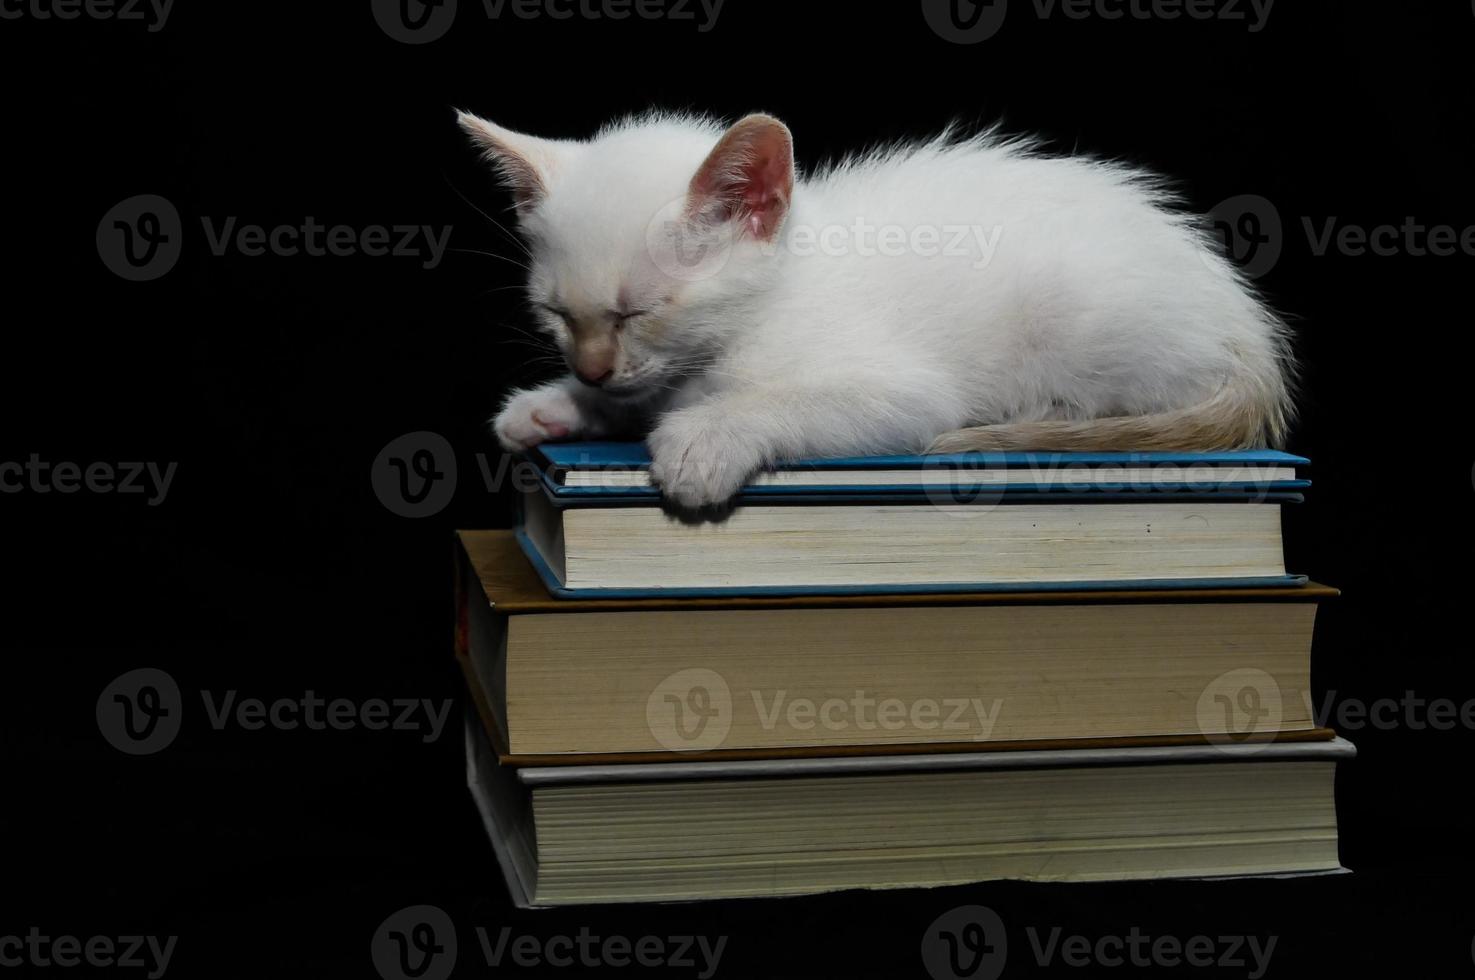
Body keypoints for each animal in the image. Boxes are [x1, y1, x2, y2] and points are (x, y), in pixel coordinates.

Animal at [457, 108, 1292, 507]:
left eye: (638, 312)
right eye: (556, 316)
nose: (591, 371)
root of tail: (1245, 330)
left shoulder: (904, 391)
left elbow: (786, 402)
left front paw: (705, 439)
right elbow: (644, 395)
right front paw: (555, 407)